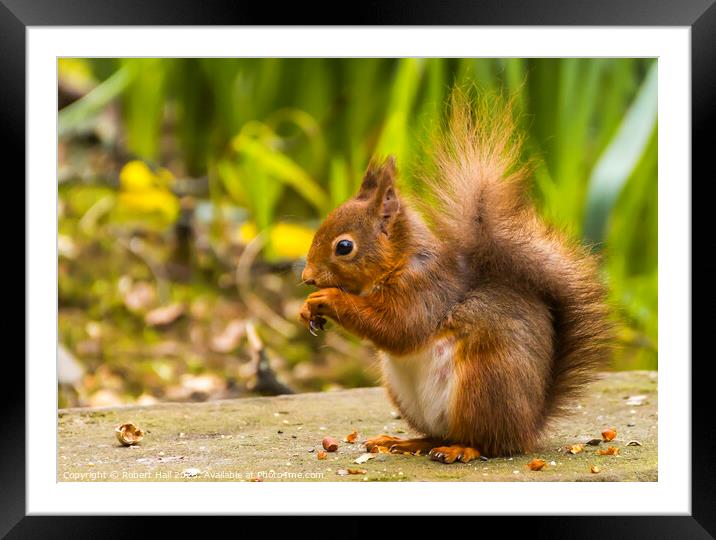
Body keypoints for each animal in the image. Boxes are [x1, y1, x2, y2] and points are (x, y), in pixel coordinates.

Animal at [300, 90, 612, 462]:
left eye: (344, 247)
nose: (306, 277)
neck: (400, 261)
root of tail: (529, 425)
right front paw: (307, 310)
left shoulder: (425, 291)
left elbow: (398, 328)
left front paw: (328, 298)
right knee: (438, 434)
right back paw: (403, 442)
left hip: (483, 384)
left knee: (488, 442)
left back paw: (460, 449)